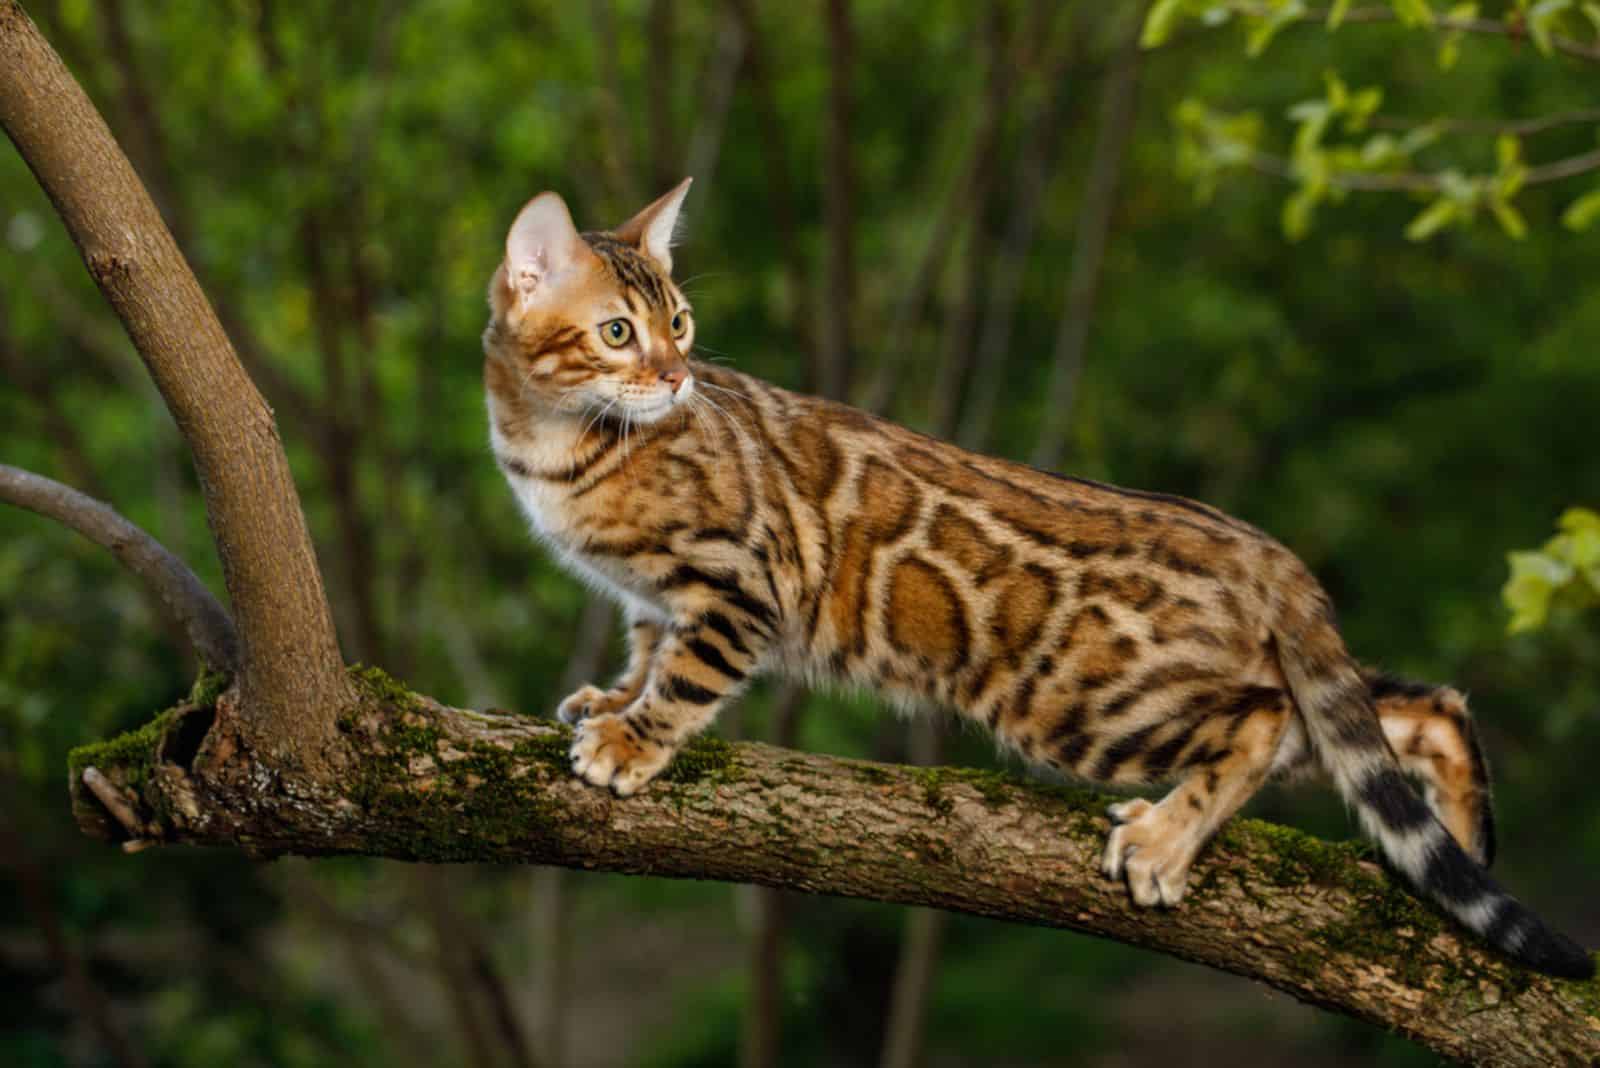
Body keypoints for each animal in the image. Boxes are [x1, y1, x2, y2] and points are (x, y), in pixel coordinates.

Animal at [480, 181, 1593, 978]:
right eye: (619, 331)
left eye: (680, 322)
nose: (676, 378)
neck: (555, 447)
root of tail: (1259, 545)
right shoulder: (654, 594)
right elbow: (646, 642)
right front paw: (610, 699)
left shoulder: (743, 578)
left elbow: (686, 674)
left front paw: (630, 741)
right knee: (1403, 708)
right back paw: (1456, 838)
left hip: (1083, 702)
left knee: (1268, 716)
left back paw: (1164, 839)